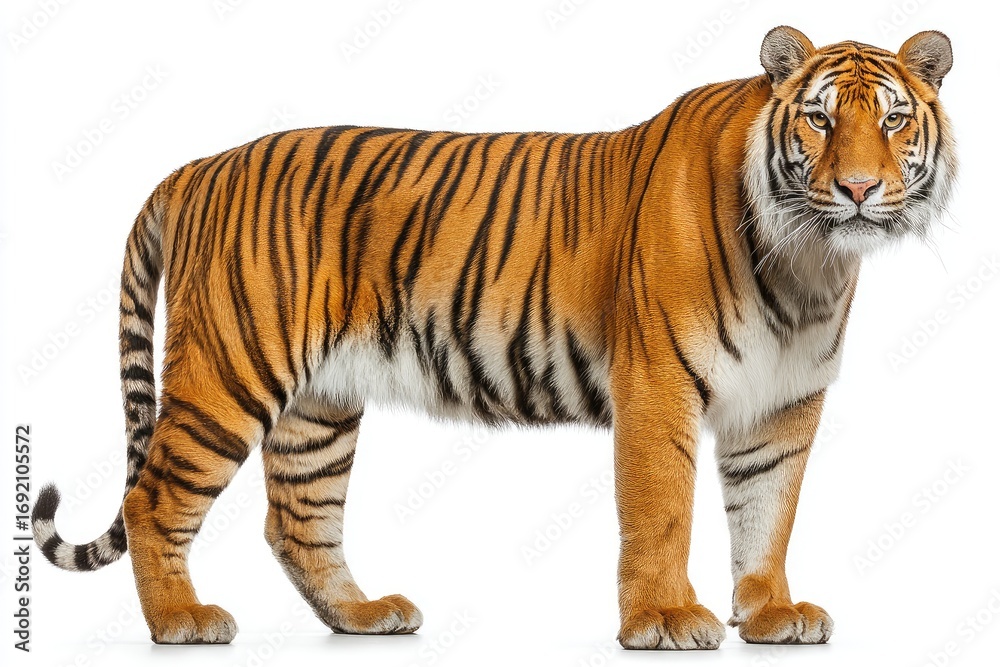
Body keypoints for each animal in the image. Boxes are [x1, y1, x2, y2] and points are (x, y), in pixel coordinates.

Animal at [32, 26, 956, 649]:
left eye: (893, 122)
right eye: (821, 122)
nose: (859, 188)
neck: (810, 261)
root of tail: (199, 165)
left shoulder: (783, 403)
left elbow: (768, 511)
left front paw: (769, 613)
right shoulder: (658, 383)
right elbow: (662, 509)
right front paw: (664, 618)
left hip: (319, 404)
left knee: (297, 517)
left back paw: (363, 615)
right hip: (230, 371)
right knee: (153, 497)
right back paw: (182, 620)